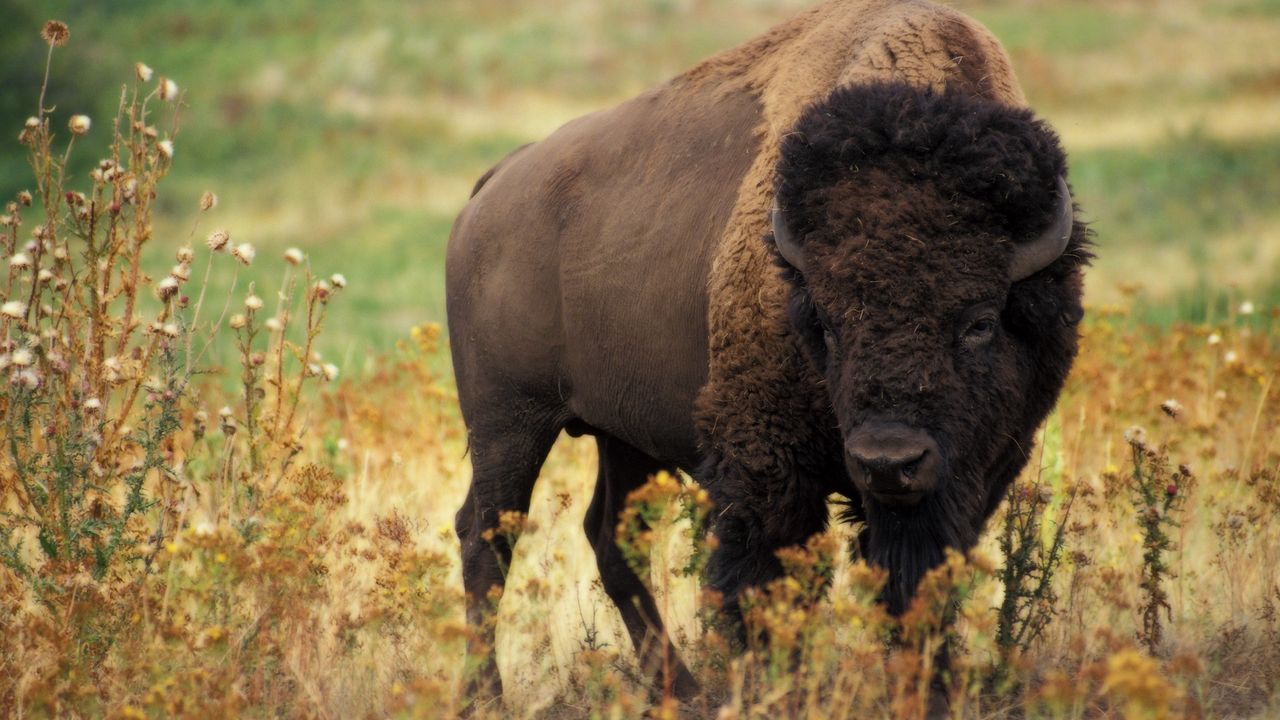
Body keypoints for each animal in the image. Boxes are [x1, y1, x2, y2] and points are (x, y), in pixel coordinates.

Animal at [448, 0, 1090, 702]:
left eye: (979, 321)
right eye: (827, 324)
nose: (888, 461)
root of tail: (493, 188)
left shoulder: (970, 476)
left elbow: (918, 584)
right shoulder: (767, 467)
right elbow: (767, 584)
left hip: (623, 435)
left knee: (608, 535)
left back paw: (682, 692)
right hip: (508, 423)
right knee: (486, 535)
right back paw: (487, 695)